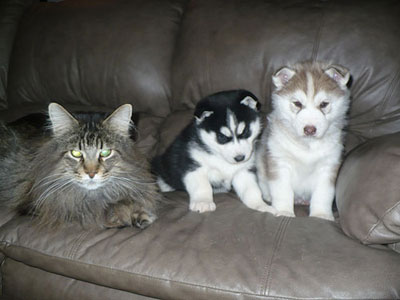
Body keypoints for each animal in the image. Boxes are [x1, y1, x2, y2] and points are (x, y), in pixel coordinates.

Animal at [0, 102, 159, 229]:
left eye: (105, 152)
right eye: (75, 153)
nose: (91, 173)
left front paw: (139, 215)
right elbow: (101, 211)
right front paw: (123, 217)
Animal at [256, 61, 350, 220]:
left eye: (323, 104)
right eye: (297, 104)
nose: (310, 129)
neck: (307, 146)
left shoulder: (327, 166)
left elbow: (323, 194)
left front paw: (321, 215)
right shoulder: (280, 162)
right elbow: (283, 191)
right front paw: (284, 212)